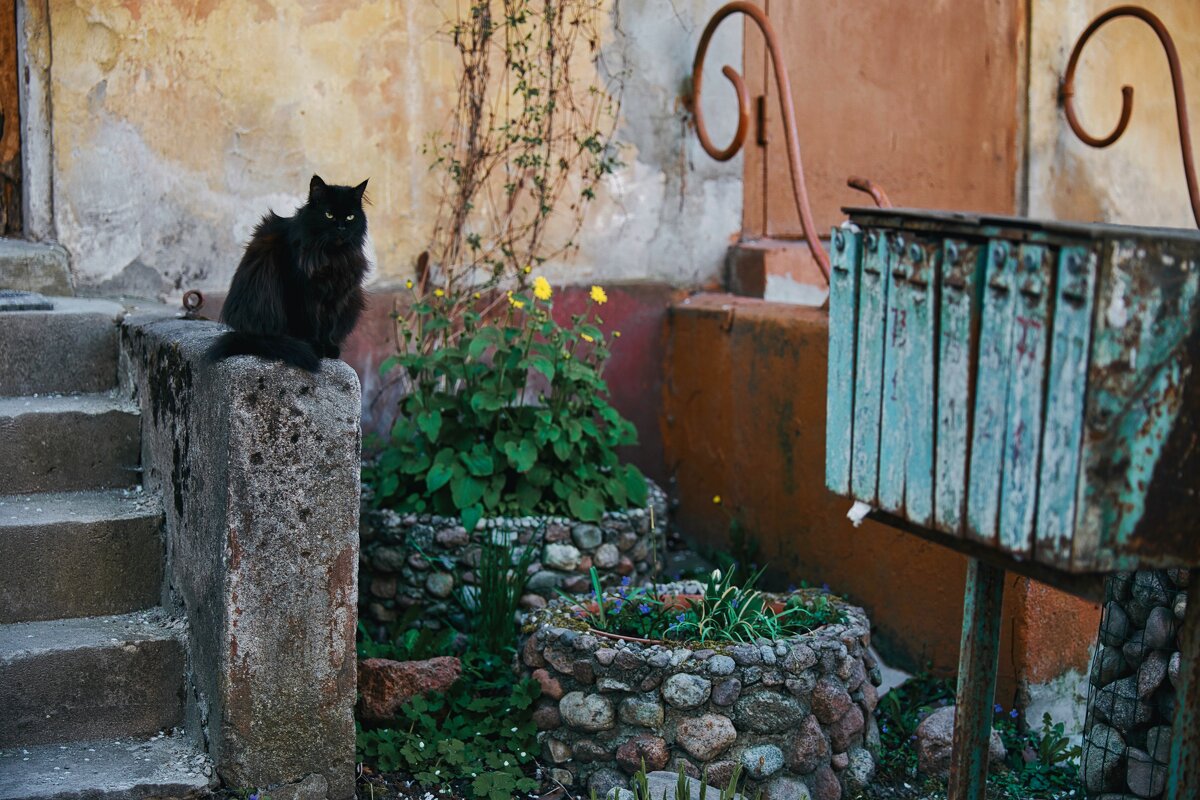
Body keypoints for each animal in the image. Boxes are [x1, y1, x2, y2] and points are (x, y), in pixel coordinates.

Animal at [210, 175, 369, 371]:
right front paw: (314, 347)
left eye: (350, 217)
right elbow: (307, 324)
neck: (332, 257)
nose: (341, 228)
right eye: (329, 214)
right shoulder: (299, 291)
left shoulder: (336, 295)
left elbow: (329, 325)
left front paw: (329, 347)